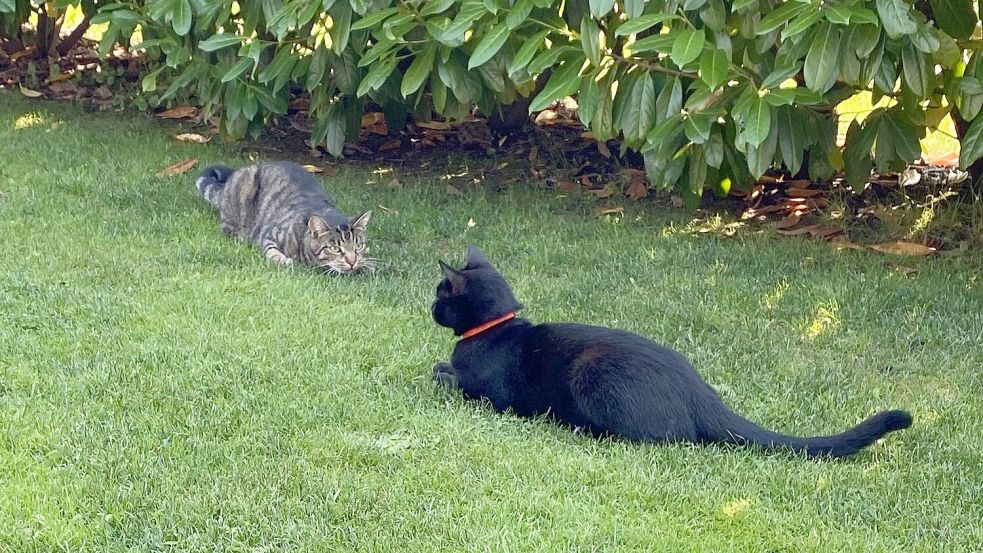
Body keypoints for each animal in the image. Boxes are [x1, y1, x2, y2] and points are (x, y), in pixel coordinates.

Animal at [196, 161, 372, 272]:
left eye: (358, 246)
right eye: (334, 248)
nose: (352, 261)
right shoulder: (269, 233)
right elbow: (271, 250)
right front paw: (282, 260)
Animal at [432, 246, 916, 458]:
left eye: (440, 293)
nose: (430, 305)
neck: (496, 329)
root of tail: (700, 393)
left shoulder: (491, 399)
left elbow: (447, 377)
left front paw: (440, 370)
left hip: (592, 375)